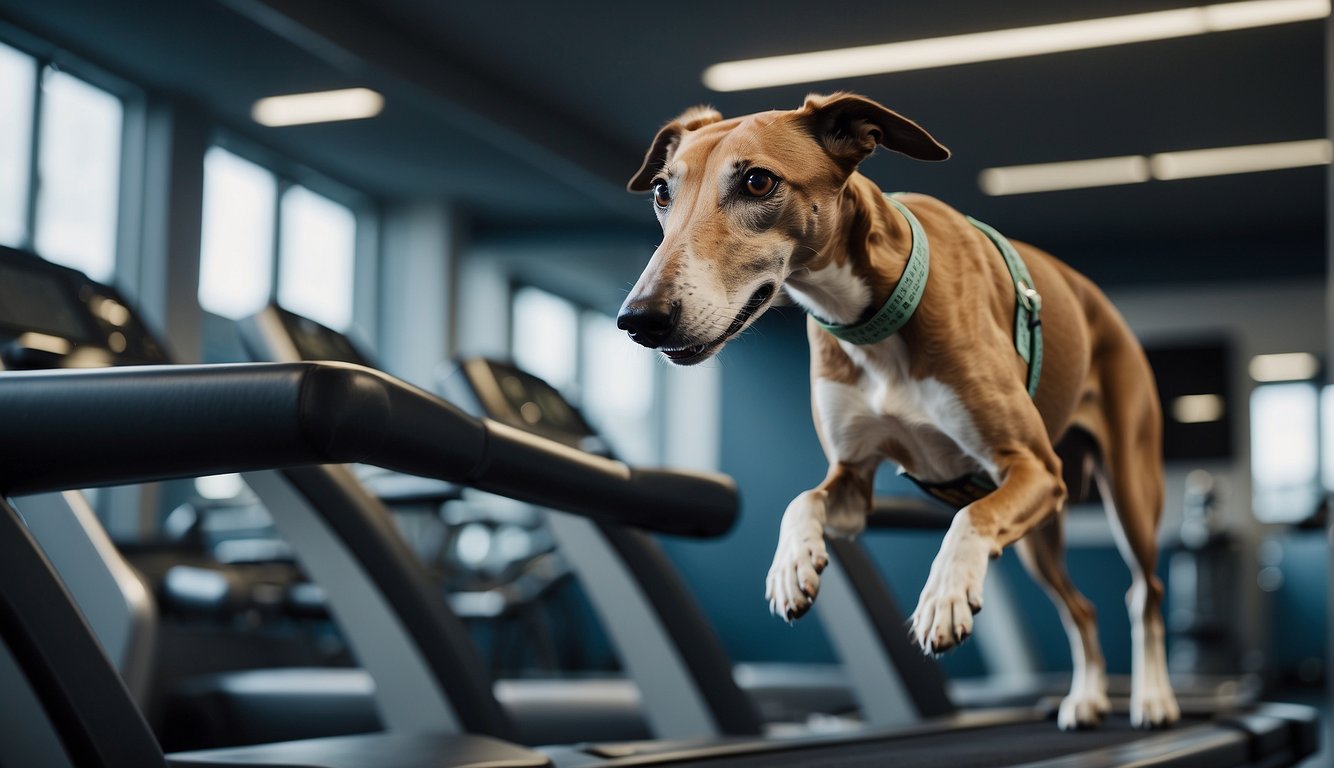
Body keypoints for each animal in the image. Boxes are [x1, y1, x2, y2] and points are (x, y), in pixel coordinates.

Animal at [613, 93, 1179, 730]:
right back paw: (1085, 697)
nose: (639, 319)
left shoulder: (1031, 466)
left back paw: (1153, 697)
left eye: (758, 181)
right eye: (662, 191)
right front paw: (791, 566)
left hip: (1126, 490)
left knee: (1144, 592)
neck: (870, 314)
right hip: (1040, 535)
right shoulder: (854, 478)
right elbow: (801, 499)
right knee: (1081, 609)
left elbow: (970, 518)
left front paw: (943, 598)